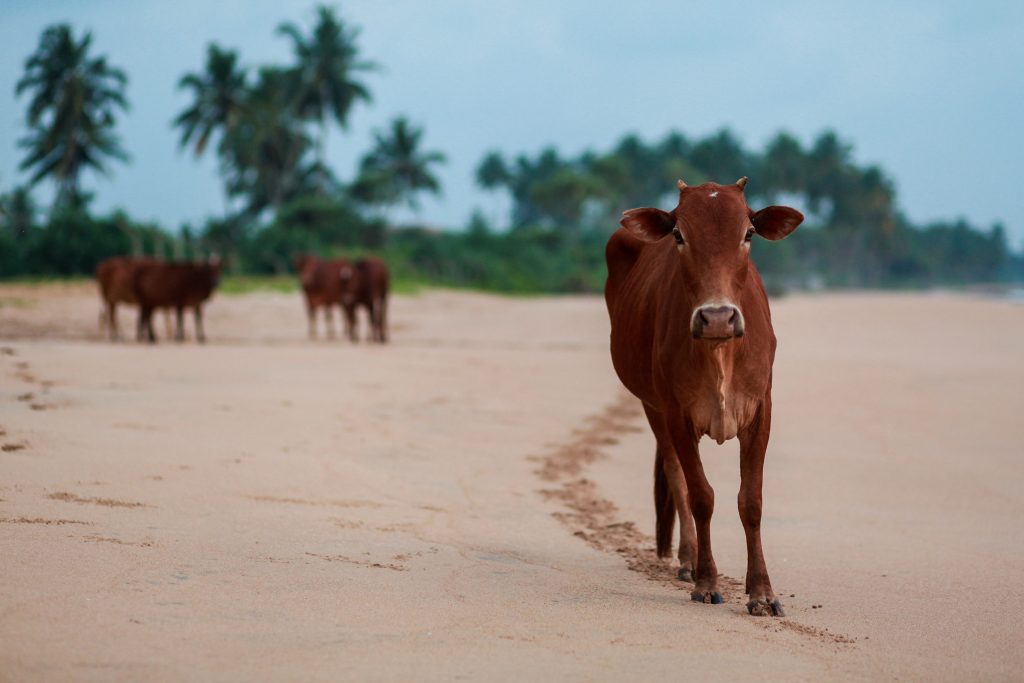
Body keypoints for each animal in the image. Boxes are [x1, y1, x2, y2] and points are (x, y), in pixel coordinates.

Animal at [605, 177, 803, 617]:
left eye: (748, 233)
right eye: (679, 235)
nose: (716, 318)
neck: (719, 351)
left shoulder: (761, 412)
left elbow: (751, 501)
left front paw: (762, 593)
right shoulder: (677, 414)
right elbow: (701, 497)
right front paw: (707, 582)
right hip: (652, 406)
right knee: (676, 476)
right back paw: (688, 559)